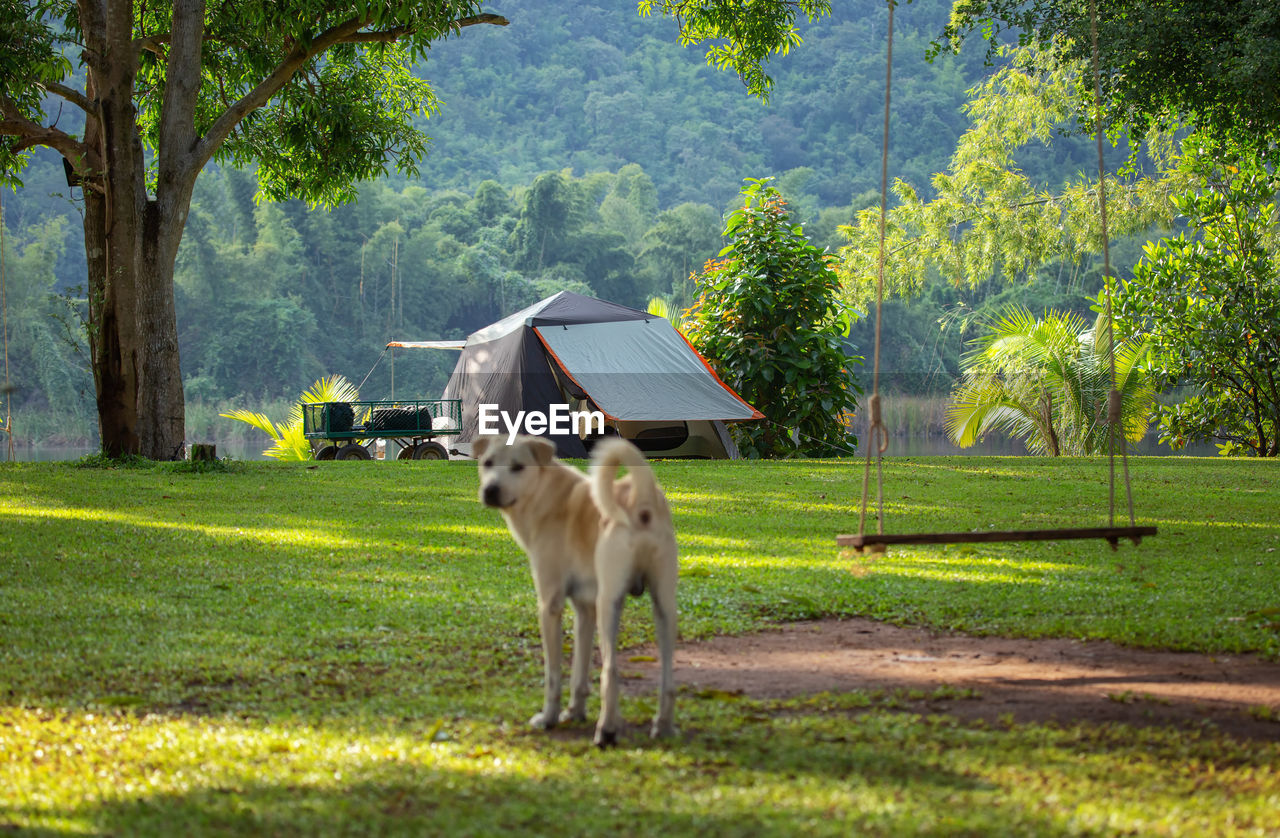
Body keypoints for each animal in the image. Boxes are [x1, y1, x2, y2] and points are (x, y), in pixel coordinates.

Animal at [476, 434, 680, 742]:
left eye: (518, 467)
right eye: (487, 463)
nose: (490, 490)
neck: (545, 495)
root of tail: (641, 498)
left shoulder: (550, 605)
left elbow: (554, 673)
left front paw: (548, 717)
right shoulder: (585, 611)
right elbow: (579, 671)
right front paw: (574, 712)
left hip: (609, 603)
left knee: (611, 670)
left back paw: (606, 730)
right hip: (664, 608)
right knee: (668, 677)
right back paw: (663, 726)